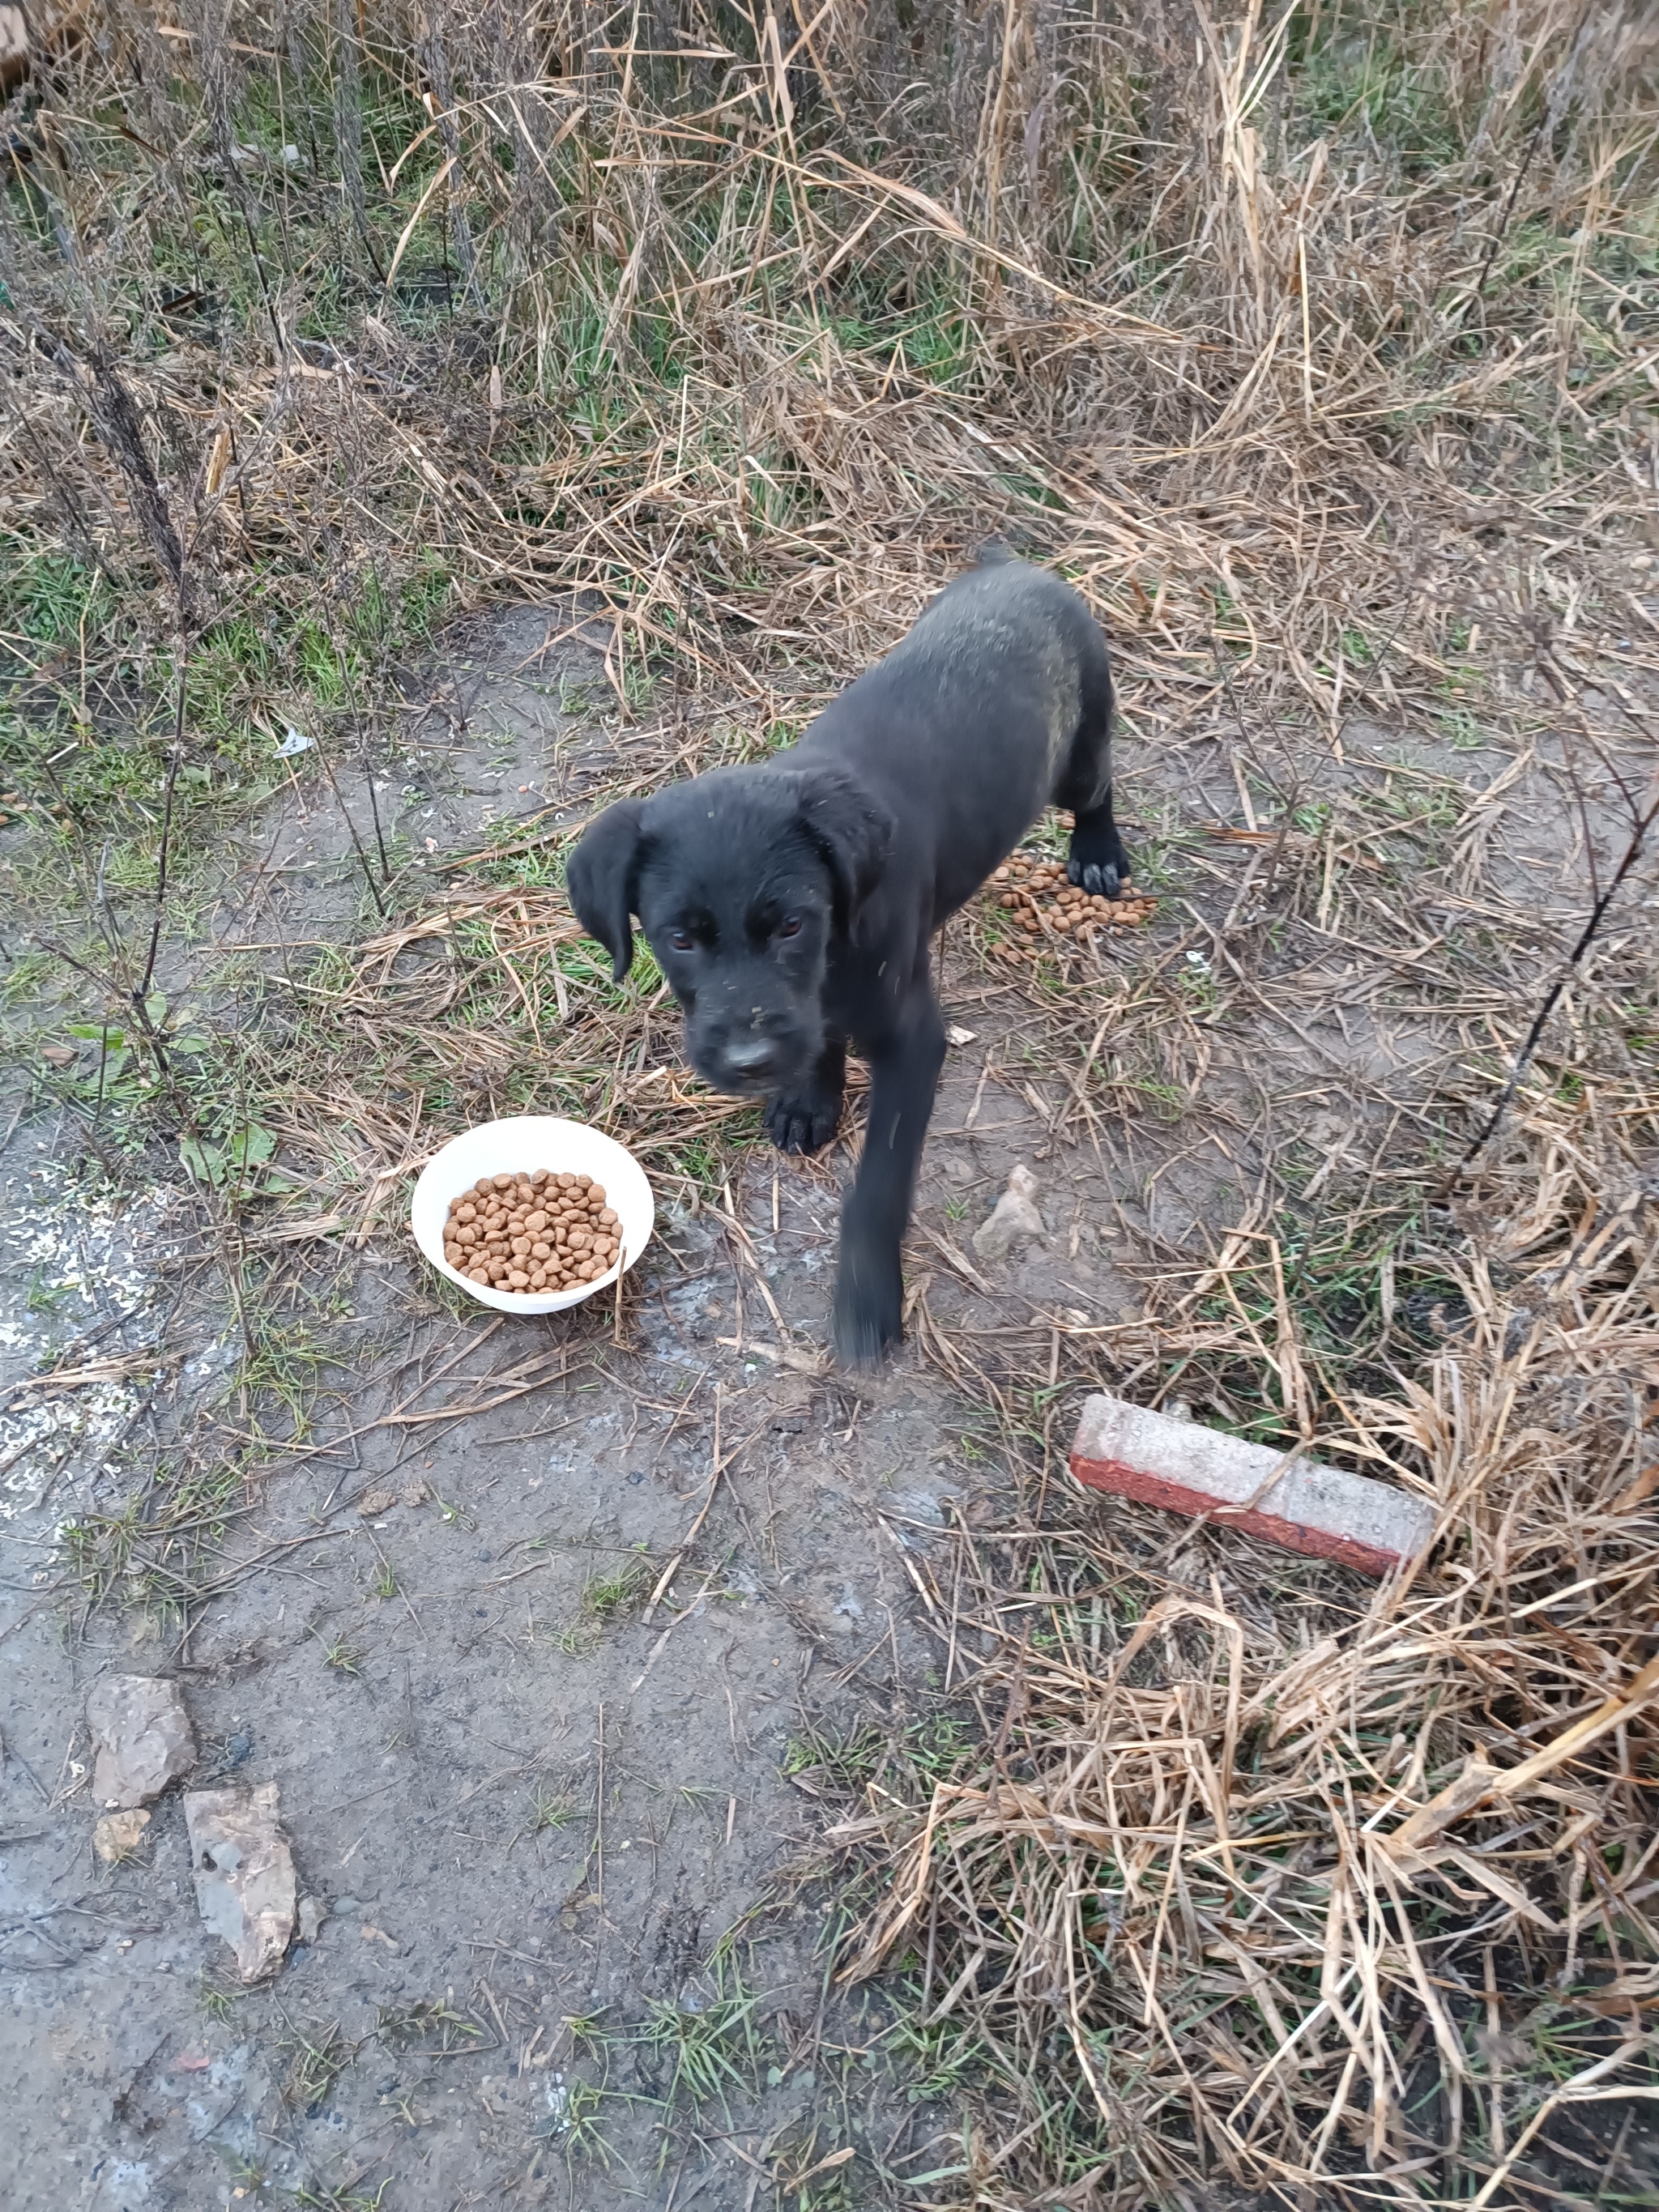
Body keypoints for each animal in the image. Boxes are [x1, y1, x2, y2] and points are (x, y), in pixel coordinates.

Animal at [570, 543, 1132, 1353]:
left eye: (793, 926)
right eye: (678, 938)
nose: (749, 1063)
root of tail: (1019, 565)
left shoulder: (912, 1041)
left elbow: (880, 1185)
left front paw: (867, 1300)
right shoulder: (814, 1008)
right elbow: (818, 1034)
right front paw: (810, 1101)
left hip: (1077, 755)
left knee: (1099, 785)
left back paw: (1097, 852)